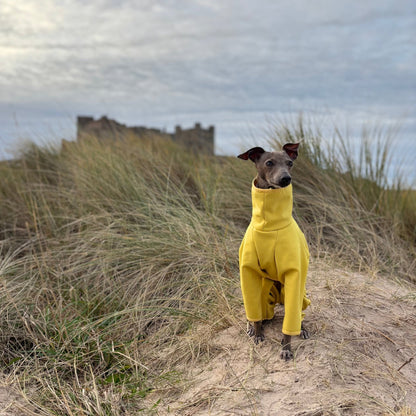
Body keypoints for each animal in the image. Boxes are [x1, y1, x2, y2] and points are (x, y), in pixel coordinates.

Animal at [239, 143, 310, 360]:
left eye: (290, 163)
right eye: (269, 163)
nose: (286, 179)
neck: (269, 223)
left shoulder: (295, 275)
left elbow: (289, 326)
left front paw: (286, 348)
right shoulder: (248, 272)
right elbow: (254, 314)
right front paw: (257, 333)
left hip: (295, 294)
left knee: (296, 313)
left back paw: (302, 328)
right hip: (265, 292)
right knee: (257, 313)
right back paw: (252, 326)